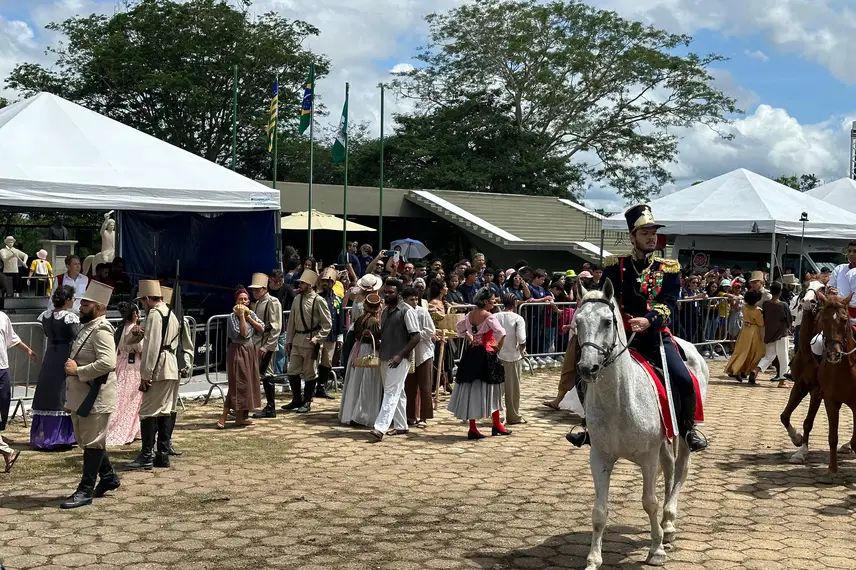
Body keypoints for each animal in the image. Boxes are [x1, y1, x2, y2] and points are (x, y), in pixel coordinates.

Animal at [576, 280, 708, 568]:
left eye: (606, 322)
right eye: (576, 322)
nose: (587, 368)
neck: (619, 401)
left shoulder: (648, 457)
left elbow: (650, 502)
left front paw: (656, 550)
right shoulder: (600, 457)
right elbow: (599, 510)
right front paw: (593, 558)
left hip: (682, 434)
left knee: (680, 470)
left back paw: (669, 524)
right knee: (669, 468)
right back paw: (665, 525)